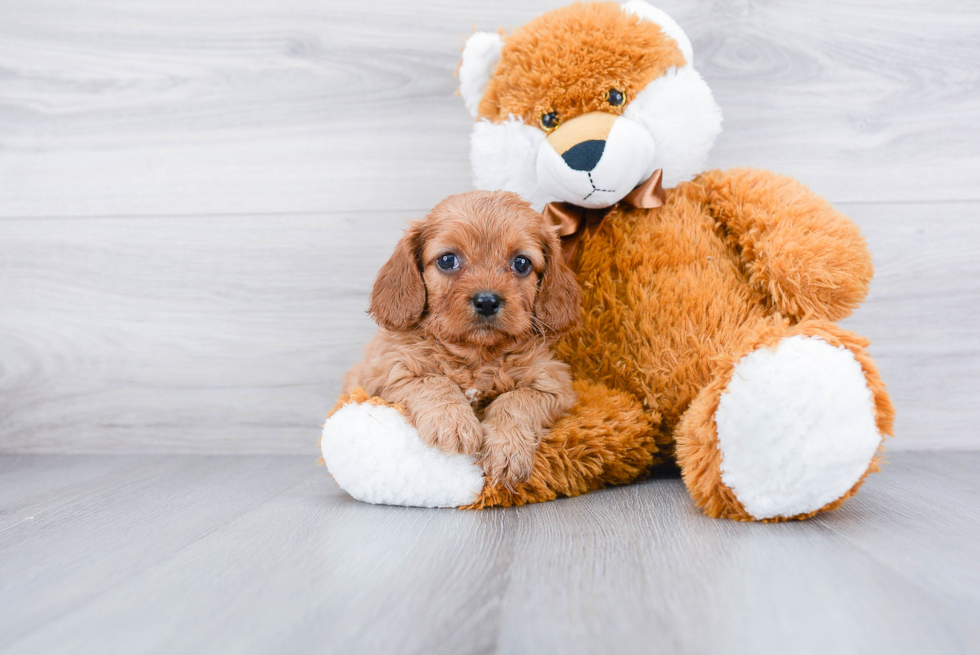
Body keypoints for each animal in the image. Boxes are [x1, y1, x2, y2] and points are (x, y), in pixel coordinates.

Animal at [342, 190, 580, 486]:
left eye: (521, 263)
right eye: (447, 260)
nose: (487, 301)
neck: (476, 353)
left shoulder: (553, 382)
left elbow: (515, 400)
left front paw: (507, 448)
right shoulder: (387, 370)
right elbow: (434, 381)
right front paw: (453, 423)